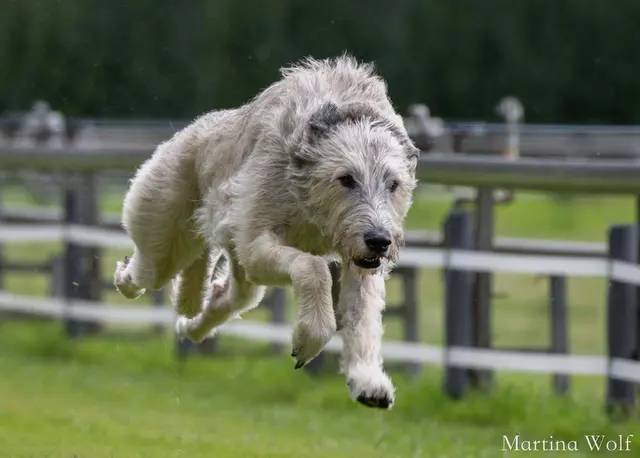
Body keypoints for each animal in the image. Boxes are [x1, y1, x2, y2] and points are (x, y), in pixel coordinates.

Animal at [113, 54, 419, 409]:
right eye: (346, 179)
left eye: (393, 184)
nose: (381, 241)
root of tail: (194, 130)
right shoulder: (257, 240)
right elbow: (313, 266)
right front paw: (310, 336)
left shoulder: (358, 257)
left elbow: (364, 312)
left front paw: (367, 380)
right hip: (163, 229)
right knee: (148, 270)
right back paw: (124, 278)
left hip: (231, 270)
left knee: (227, 296)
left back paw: (194, 324)